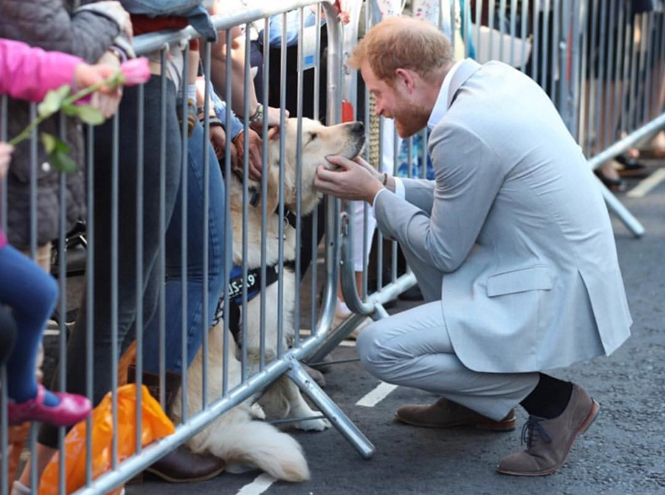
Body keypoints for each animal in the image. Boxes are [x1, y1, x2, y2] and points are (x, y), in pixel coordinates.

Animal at [169, 118, 366, 482]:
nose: (360, 124)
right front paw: (307, 416)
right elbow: (287, 377)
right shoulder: (265, 331)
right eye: (311, 137)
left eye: (320, 124)